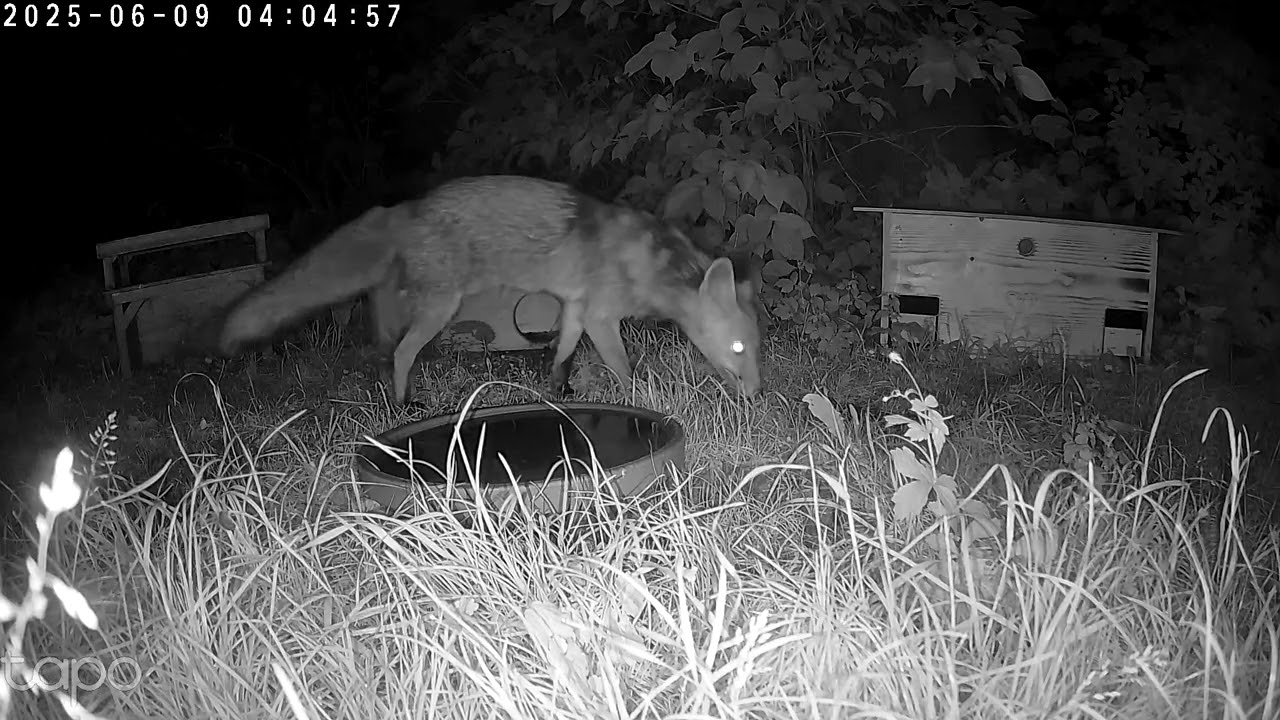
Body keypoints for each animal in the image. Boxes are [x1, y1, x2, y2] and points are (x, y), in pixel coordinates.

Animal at [218, 175, 763, 405]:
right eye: (738, 349)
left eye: (757, 350)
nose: (758, 395)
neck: (647, 263)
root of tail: (404, 209)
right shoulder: (602, 315)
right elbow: (624, 368)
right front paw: (639, 401)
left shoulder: (576, 307)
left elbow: (562, 354)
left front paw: (559, 391)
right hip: (442, 306)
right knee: (402, 352)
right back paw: (403, 402)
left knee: (382, 325)